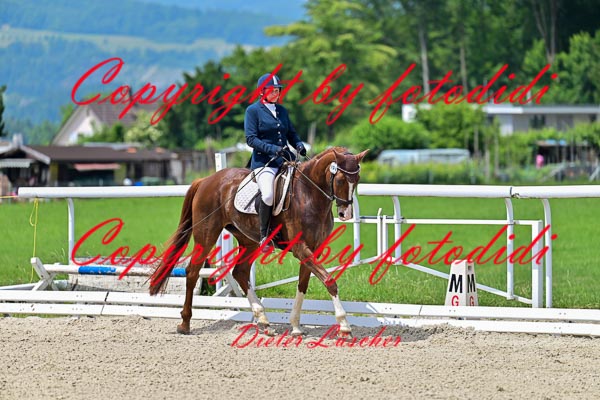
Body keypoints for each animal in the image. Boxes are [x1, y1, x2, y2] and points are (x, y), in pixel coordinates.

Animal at [149, 146, 369, 336]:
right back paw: (185, 323)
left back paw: (263, 320)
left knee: (240, 272)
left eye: (357, 179)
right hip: (206, 234)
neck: (309, 195)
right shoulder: (300, 248)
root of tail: (206, 180)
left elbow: (303, 284)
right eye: (340, 180)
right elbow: (329, 280)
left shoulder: (313, 249)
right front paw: (344, 326)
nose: (345, 214)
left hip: (249, 241)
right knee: (193, 271)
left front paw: (296, 326)